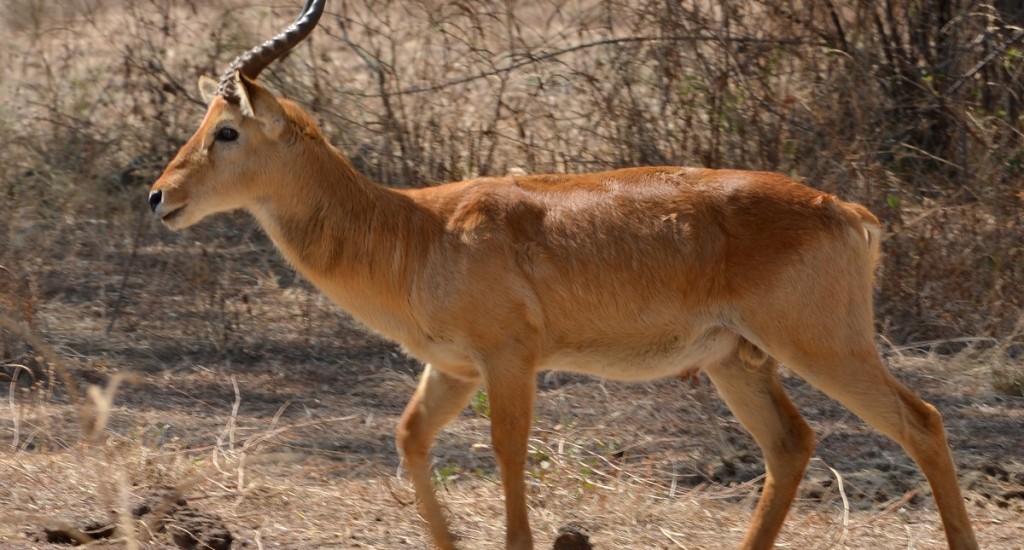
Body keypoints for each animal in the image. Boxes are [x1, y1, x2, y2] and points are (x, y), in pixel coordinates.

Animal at [148, 2, 978, 544]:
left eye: (227, 130)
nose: (160, 196)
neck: (420, 229)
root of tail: (848, 211)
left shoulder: (510, 359)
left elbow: (508, 453)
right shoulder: (453, 368)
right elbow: (411, 437)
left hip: (823, 347)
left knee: (922, 422)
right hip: (738, 362)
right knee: (792, 444)